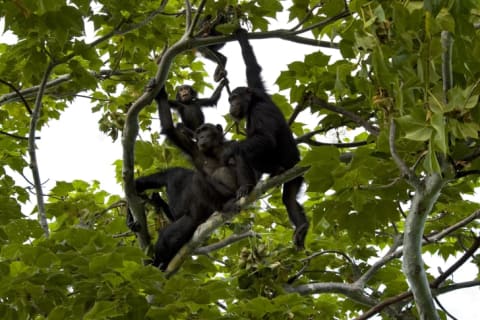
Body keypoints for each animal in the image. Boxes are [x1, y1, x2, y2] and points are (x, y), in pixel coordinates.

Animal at [223, 29, 310, 250]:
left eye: (235, 98)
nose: (231, 105)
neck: (254, 102)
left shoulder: (261, 112)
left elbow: (265, 140)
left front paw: (229, 149)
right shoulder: (258, 87)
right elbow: (253, 68)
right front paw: (241, 35)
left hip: (288, 167)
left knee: (246, 153)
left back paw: (251, 184)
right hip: (295, 178)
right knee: (289, 199)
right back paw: (302, 227)